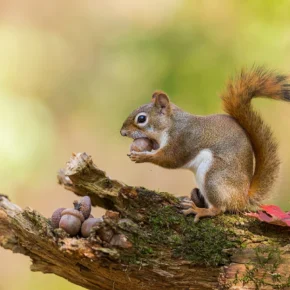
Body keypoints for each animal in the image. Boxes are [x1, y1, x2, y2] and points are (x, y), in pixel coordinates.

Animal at [119, 67, 288, 222]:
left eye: (141, 119)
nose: (122, 132)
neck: (171, 124)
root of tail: (243, 197)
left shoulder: (182, 140)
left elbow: (170, 159)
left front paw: (141, 157)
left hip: (214, 177)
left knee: (219, 209)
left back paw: (200, 210)